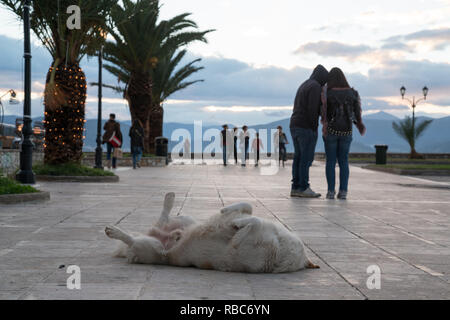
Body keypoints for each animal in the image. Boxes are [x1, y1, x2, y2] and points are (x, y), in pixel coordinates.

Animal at [105, 192, 318, 272]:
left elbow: (253, 221)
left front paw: (237, 223)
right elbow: (248, 207)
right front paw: (227, 211)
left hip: (153, 249)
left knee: (132, 240)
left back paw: (113, 231)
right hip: (186, 219)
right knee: (165, 217)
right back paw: (170, 199)